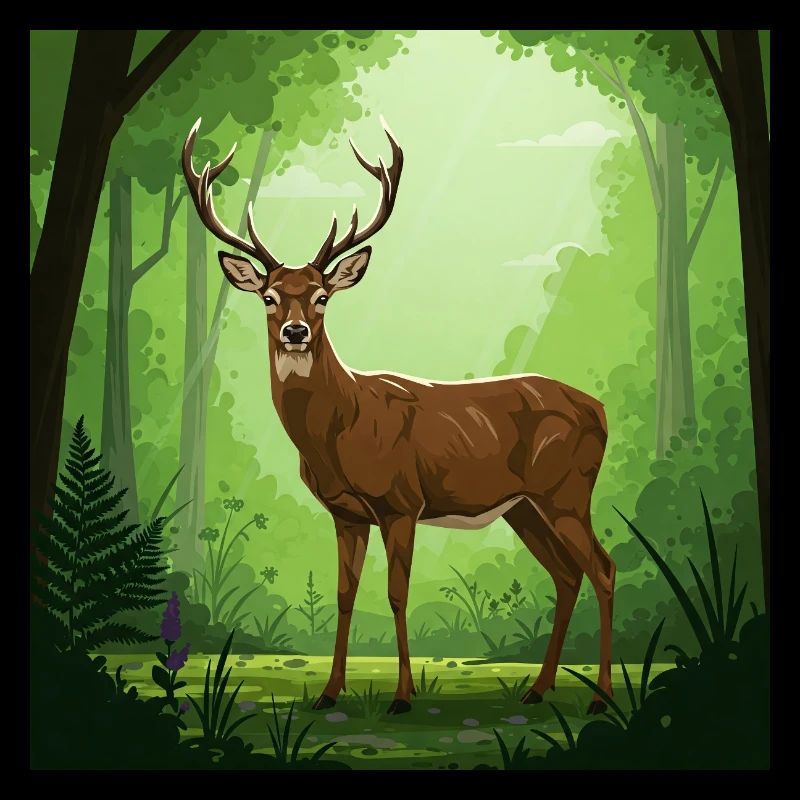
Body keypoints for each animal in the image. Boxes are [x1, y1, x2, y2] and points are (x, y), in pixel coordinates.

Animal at [182, 118, 616, 715]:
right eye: (269, 296)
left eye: (321, 296)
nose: (296, 331)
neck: (342, 427)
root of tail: (600, 409)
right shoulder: (346, 513)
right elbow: (344, 596)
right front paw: (329, 693)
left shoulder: (401, 501)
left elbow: (396, 594)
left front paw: (403, 696)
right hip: (525, 507)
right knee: (568, 574)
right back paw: (538, 689)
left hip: (567, 489)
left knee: (604, 568)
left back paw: (600, 698)